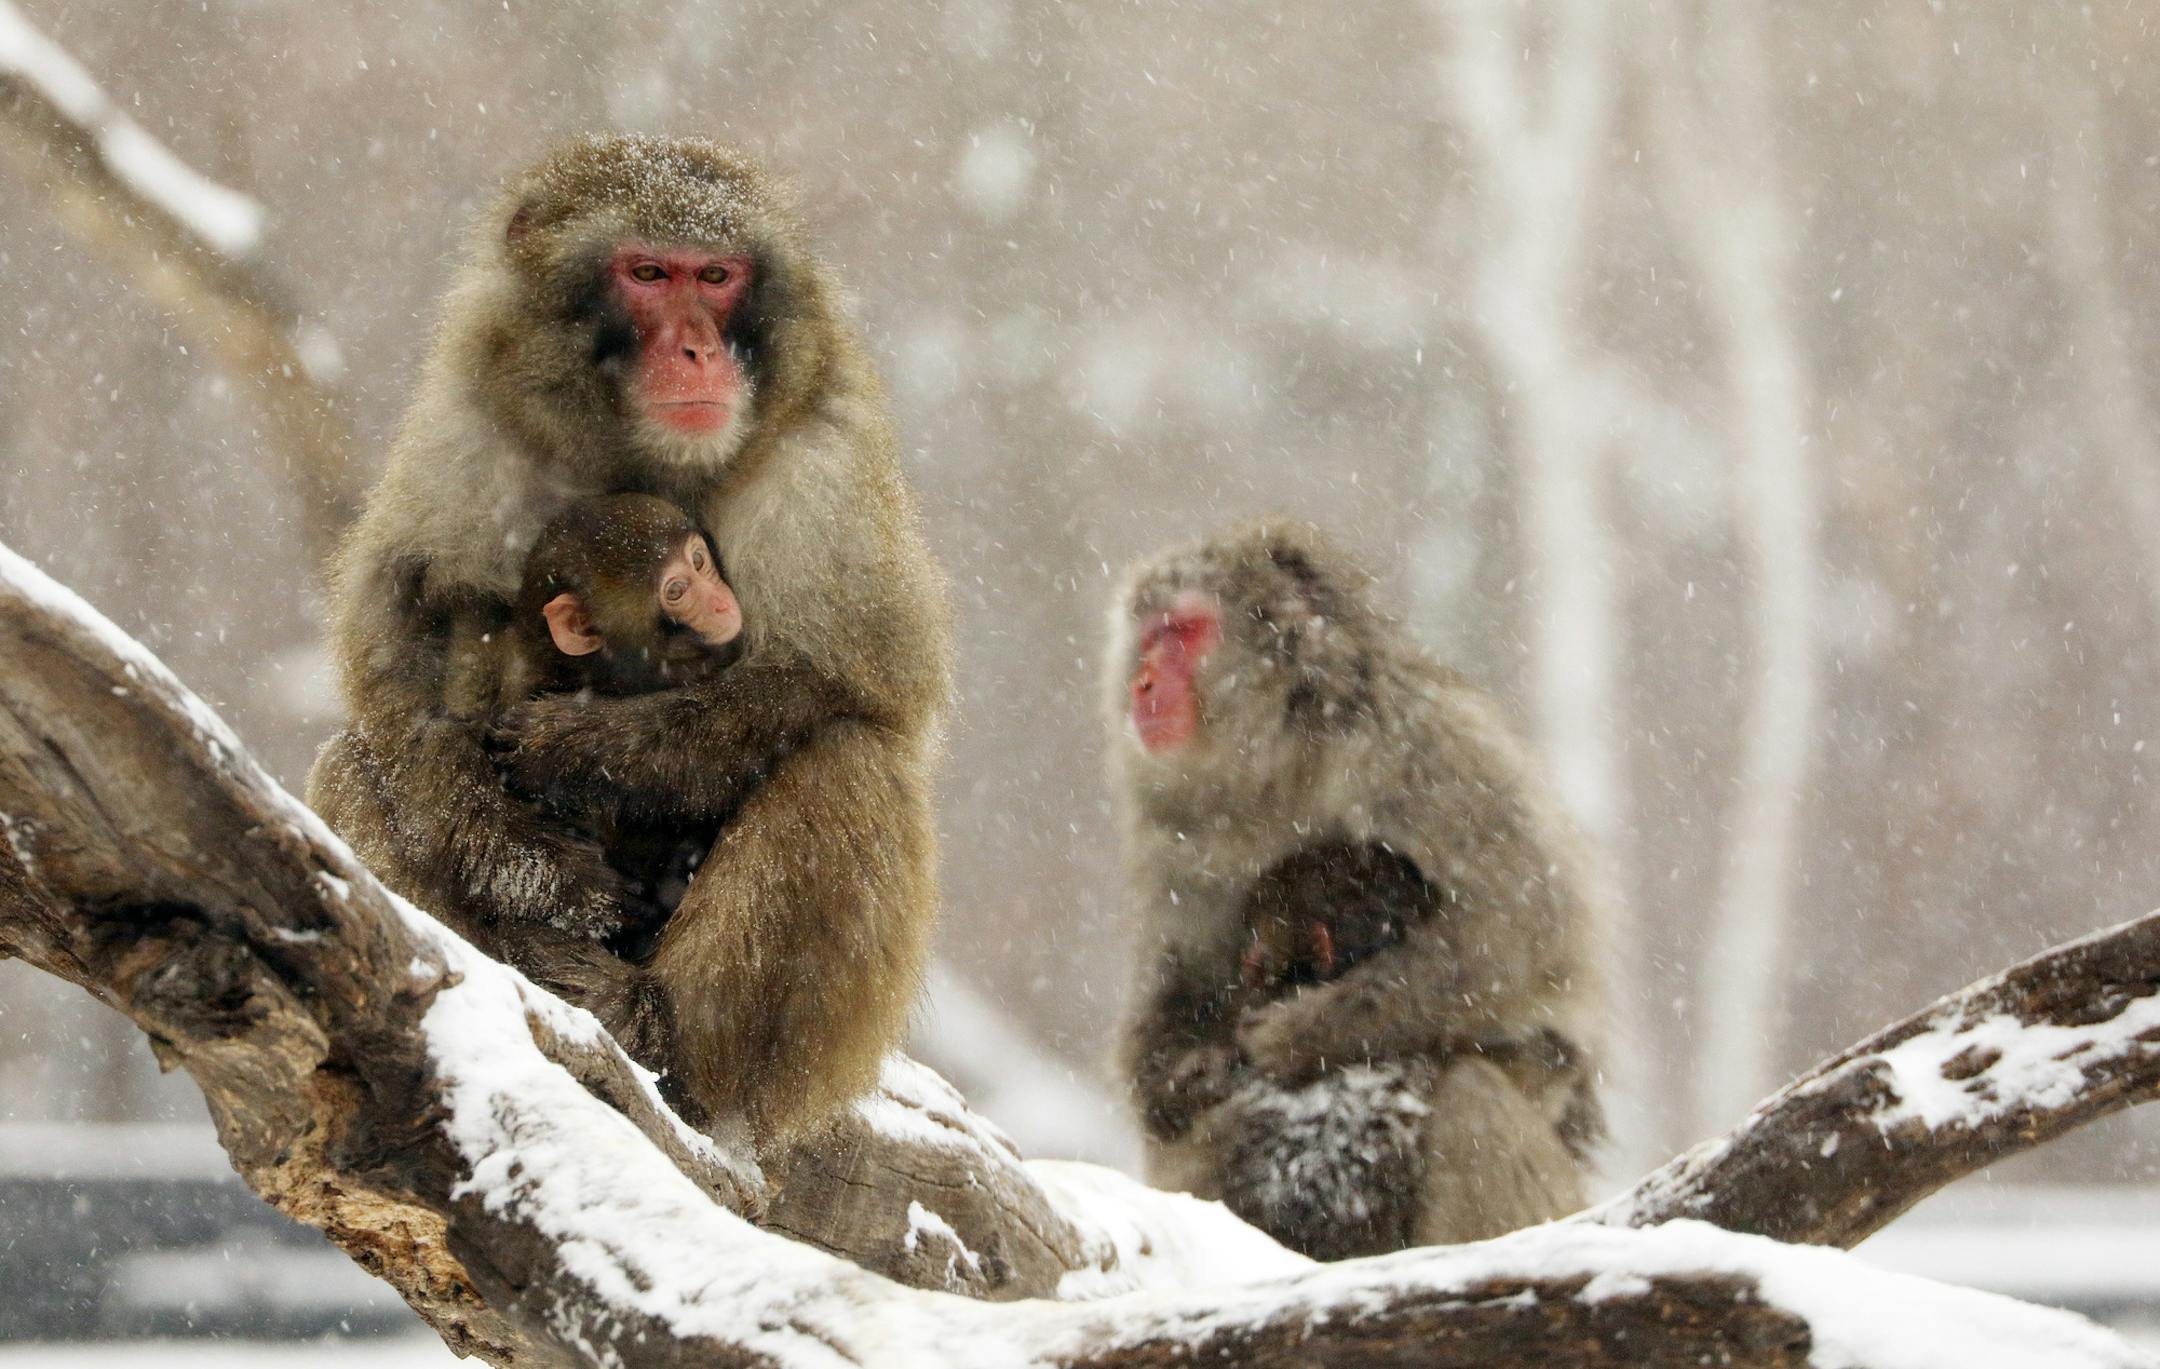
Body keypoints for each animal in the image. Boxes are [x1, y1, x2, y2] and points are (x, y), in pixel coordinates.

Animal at [306, 135, 950, 1149]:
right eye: (648, 274)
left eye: (716, 275)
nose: (698, 349)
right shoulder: (474, 415)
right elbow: (398, 638)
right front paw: (517, 856)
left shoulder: (823, 455)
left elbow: (851, 681)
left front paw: (579, 748)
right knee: (359, 757)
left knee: (851, 759)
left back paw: (661, 1034)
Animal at [1106, 521, 1604, 1259]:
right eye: (1148, 635)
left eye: (1183, 630)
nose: (1141, 682)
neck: (1285, 755)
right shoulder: (1171, 831)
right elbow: (1180, 990)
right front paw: (1183, 1072)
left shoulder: (1427, 746)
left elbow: (1517, 931)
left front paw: (1296, 1037)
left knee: (1474, 1096)